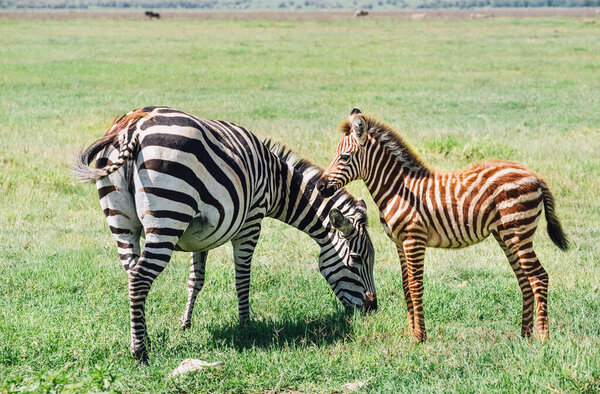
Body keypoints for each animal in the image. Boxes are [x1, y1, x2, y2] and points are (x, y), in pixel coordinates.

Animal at [74, 106, 376, 362]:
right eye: (357, 259)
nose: (373, 309)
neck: (277, 182)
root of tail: (132, 127)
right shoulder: (252, 221)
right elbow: (243, 277)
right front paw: (245, 325)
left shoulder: (200, 235)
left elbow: (195, 280)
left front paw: (185, 324)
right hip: (167, 217)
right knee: (139, 278)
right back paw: (140, 352)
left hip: (122, 222)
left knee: (131, 274)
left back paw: (143, 337)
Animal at [316, 107, 568, 342]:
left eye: (344, 157)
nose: (319, 186)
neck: (398, 189)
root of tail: (535, 176)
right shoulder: (399, 242)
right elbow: (406, 286)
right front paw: (412, 333)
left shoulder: (414, 239)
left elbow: (416, 286)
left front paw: (420, 337)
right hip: (506, 235)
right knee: (525, 280)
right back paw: (525, 335)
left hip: (519, 232)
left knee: (539, 277)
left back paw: (543, 337)